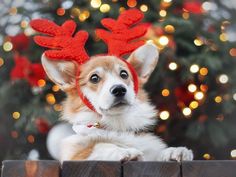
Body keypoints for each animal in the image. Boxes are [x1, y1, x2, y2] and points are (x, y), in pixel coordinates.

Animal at [41, 43, 194, 162]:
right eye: (94, 78)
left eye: (124, 74)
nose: (119, 90)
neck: (118, 125)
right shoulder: (74, 156)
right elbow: (100, 146)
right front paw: (125, 151)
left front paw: (174, 151)